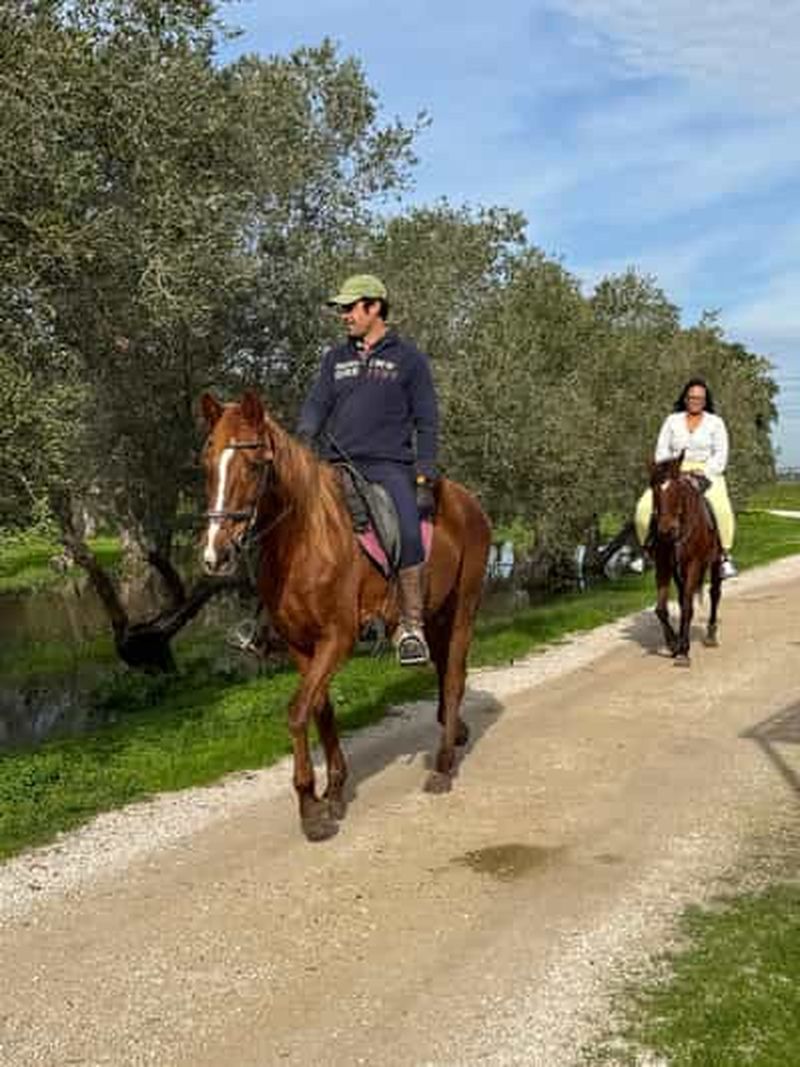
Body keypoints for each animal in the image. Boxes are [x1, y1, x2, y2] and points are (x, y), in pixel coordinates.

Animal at [199, 390, 492, 840]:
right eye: (207, 463)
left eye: (254, 465)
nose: (216, 555)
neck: (306, 539)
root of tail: (469, 502)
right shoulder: (301, 644)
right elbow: (320, 710)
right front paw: (334, 792)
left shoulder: (337, 638)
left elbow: (297, 712)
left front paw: (309, 809)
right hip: (437, 613)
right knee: (445, 672)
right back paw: (453, 729)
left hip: (463, 608)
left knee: (455, 678)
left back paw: (442, 768)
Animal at [649, 455, 723, 666]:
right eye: (654, 489)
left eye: (678, 490)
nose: (666, 530)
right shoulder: (663, 566)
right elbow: (661, 609)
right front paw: (674, 644)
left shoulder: (694, 565)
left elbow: (688, 608)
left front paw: (683, 651)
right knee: (683, 598)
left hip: (715, 562)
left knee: (715, 593)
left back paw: (711, 635)